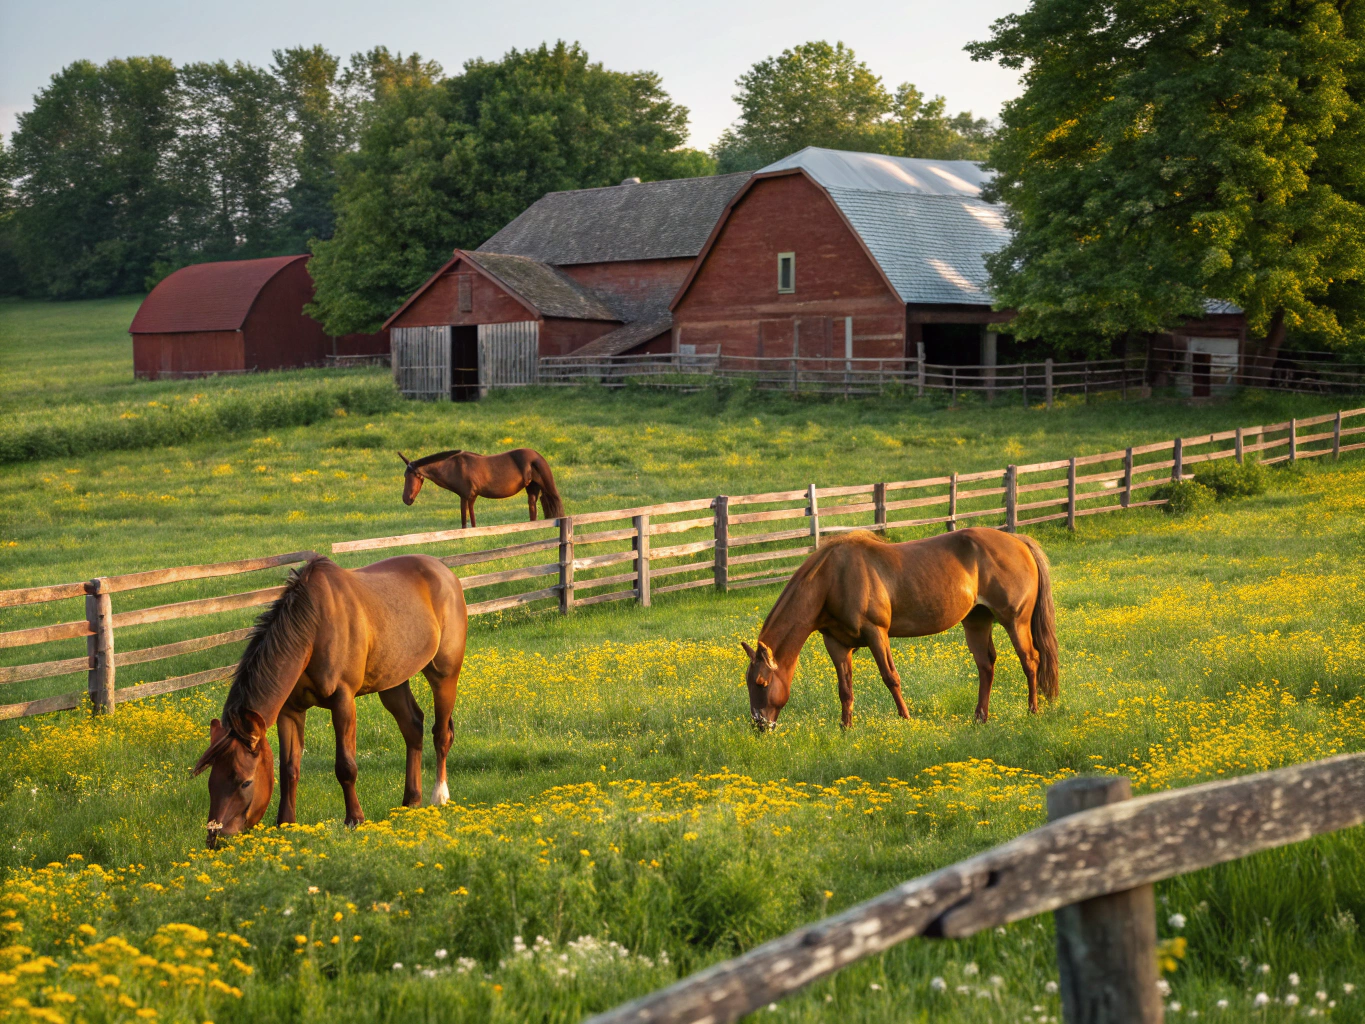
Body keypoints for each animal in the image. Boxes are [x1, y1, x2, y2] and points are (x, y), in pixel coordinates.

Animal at [192, 554, 466, 847]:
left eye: (245, 782)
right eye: (211, 781)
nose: (215, 839)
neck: (314, 627)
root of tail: (445, 572)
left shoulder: (343, 701)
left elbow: (345, 766)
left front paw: (354, 819)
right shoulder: (290, 711)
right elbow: (289, 768)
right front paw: (286, 822)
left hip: (444, 674)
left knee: (441, 734)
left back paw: (439, 796)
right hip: (393, 681)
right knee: (413, 727)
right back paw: (411, 800)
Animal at [398, 448, 564, 528]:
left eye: (411, 476)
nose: (406, 499)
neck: (453, 466)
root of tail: (537, 456)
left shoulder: (466, 496)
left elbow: (465, 522)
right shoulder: (470, 497)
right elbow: (471, 522)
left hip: (547, 487)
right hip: (532, 490)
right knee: (533, 511)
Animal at [740, 528, 1057, 730]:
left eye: (762, 683)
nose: (759, 725)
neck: (832, 578)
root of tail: (1018, 541)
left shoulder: (876, 633)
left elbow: (890, 677)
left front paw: (905, 718)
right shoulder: (836, 644)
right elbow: (845, 688)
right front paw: (846, 727)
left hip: (1015, 621)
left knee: (1031, 660)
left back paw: (1032, 710)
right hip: (977, 622)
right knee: (986, 666)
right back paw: (981, 717)